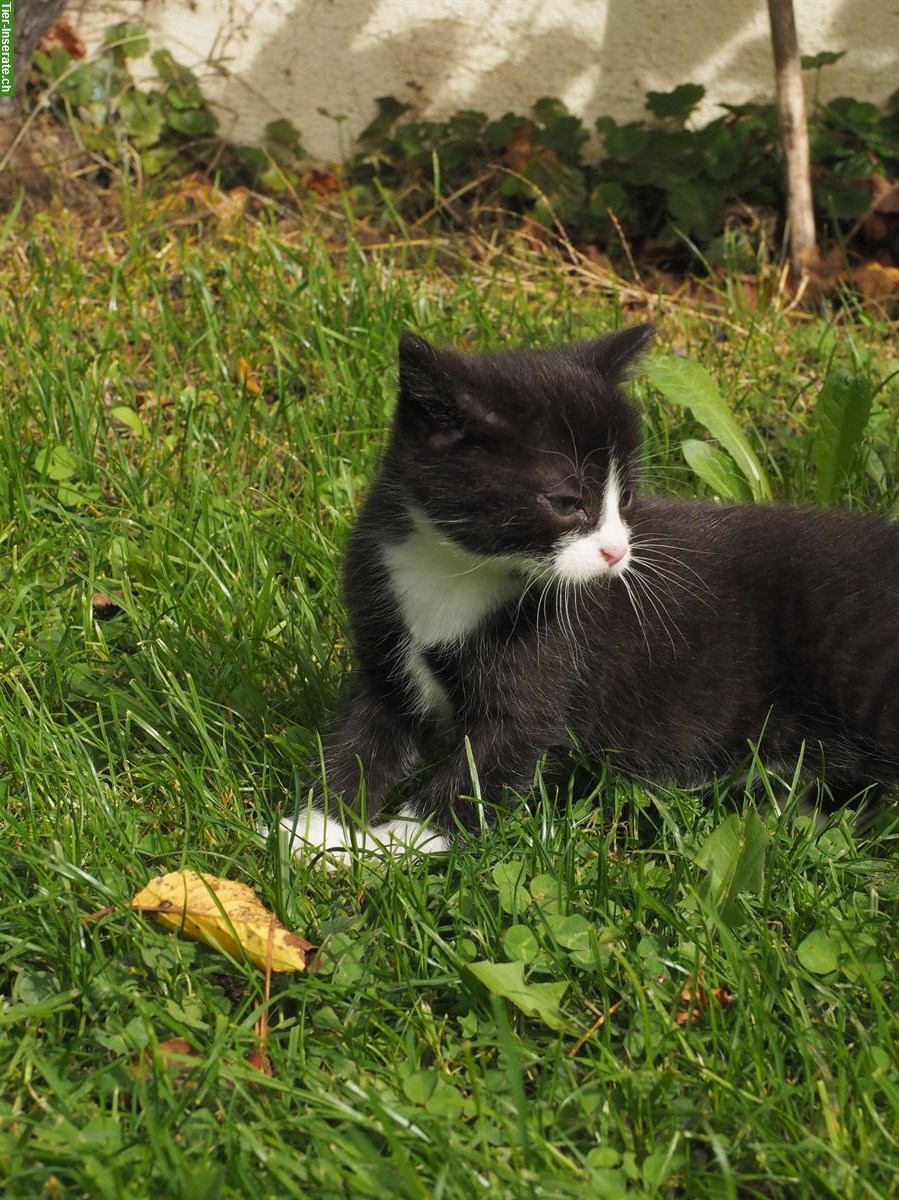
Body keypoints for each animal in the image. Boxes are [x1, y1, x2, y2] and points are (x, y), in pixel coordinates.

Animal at [280, 324, 897, 859]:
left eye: (624, 499)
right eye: (567, 502)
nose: (617, 553)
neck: (462, 568)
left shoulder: (543, 674)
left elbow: (481, 771)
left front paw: (391, 845)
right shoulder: (383, 646)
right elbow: (361, 740)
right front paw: (315, 833)